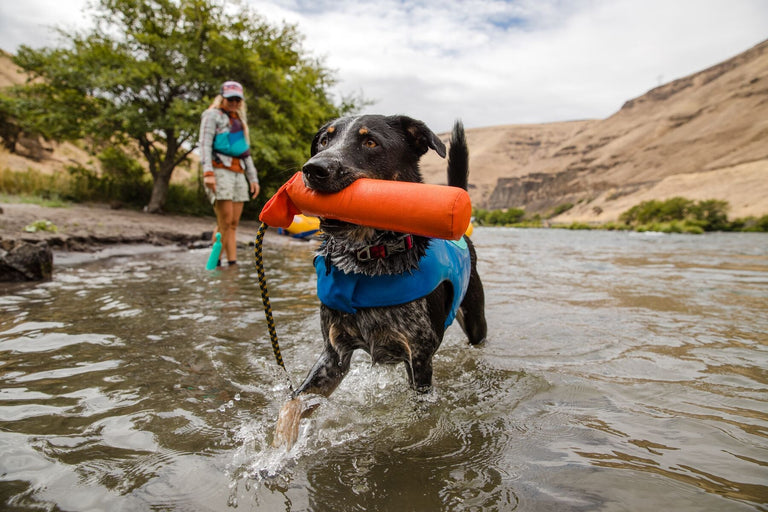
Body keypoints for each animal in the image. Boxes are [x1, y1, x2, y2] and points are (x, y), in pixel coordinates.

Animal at [274, 116, 486, 448]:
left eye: (370, 142)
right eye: (324, 141)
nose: (313, 169)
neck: (368, 258)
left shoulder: (419, 358)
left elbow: (421, 417)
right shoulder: (333, 356)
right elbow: (292, 404)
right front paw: (275, 450)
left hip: (476, 322)